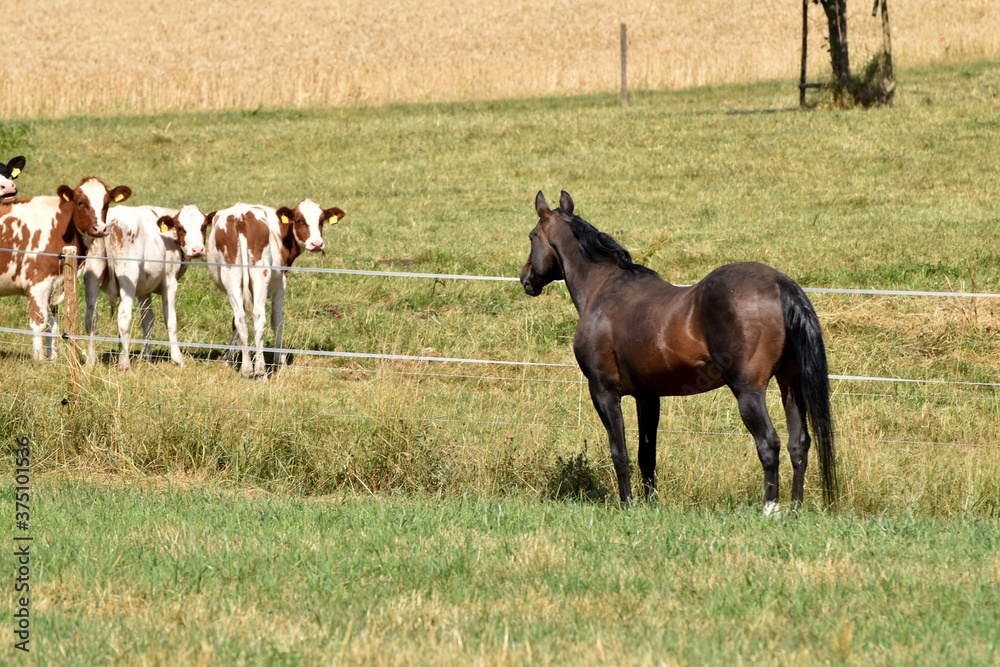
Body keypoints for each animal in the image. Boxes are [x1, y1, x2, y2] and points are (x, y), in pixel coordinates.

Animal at [520, 191, 838, 512]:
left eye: (532, 236)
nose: (525, 279)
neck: (604, 289)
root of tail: (780, 285)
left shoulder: (603, 391)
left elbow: (620, 452)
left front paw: (628, 505)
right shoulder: (648, 396)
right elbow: (646, 455)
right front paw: (649, 505)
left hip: (749, 390)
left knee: (769, 444)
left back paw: (770, 510)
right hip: (791, 384)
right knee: (799, 443)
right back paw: (794, 509)